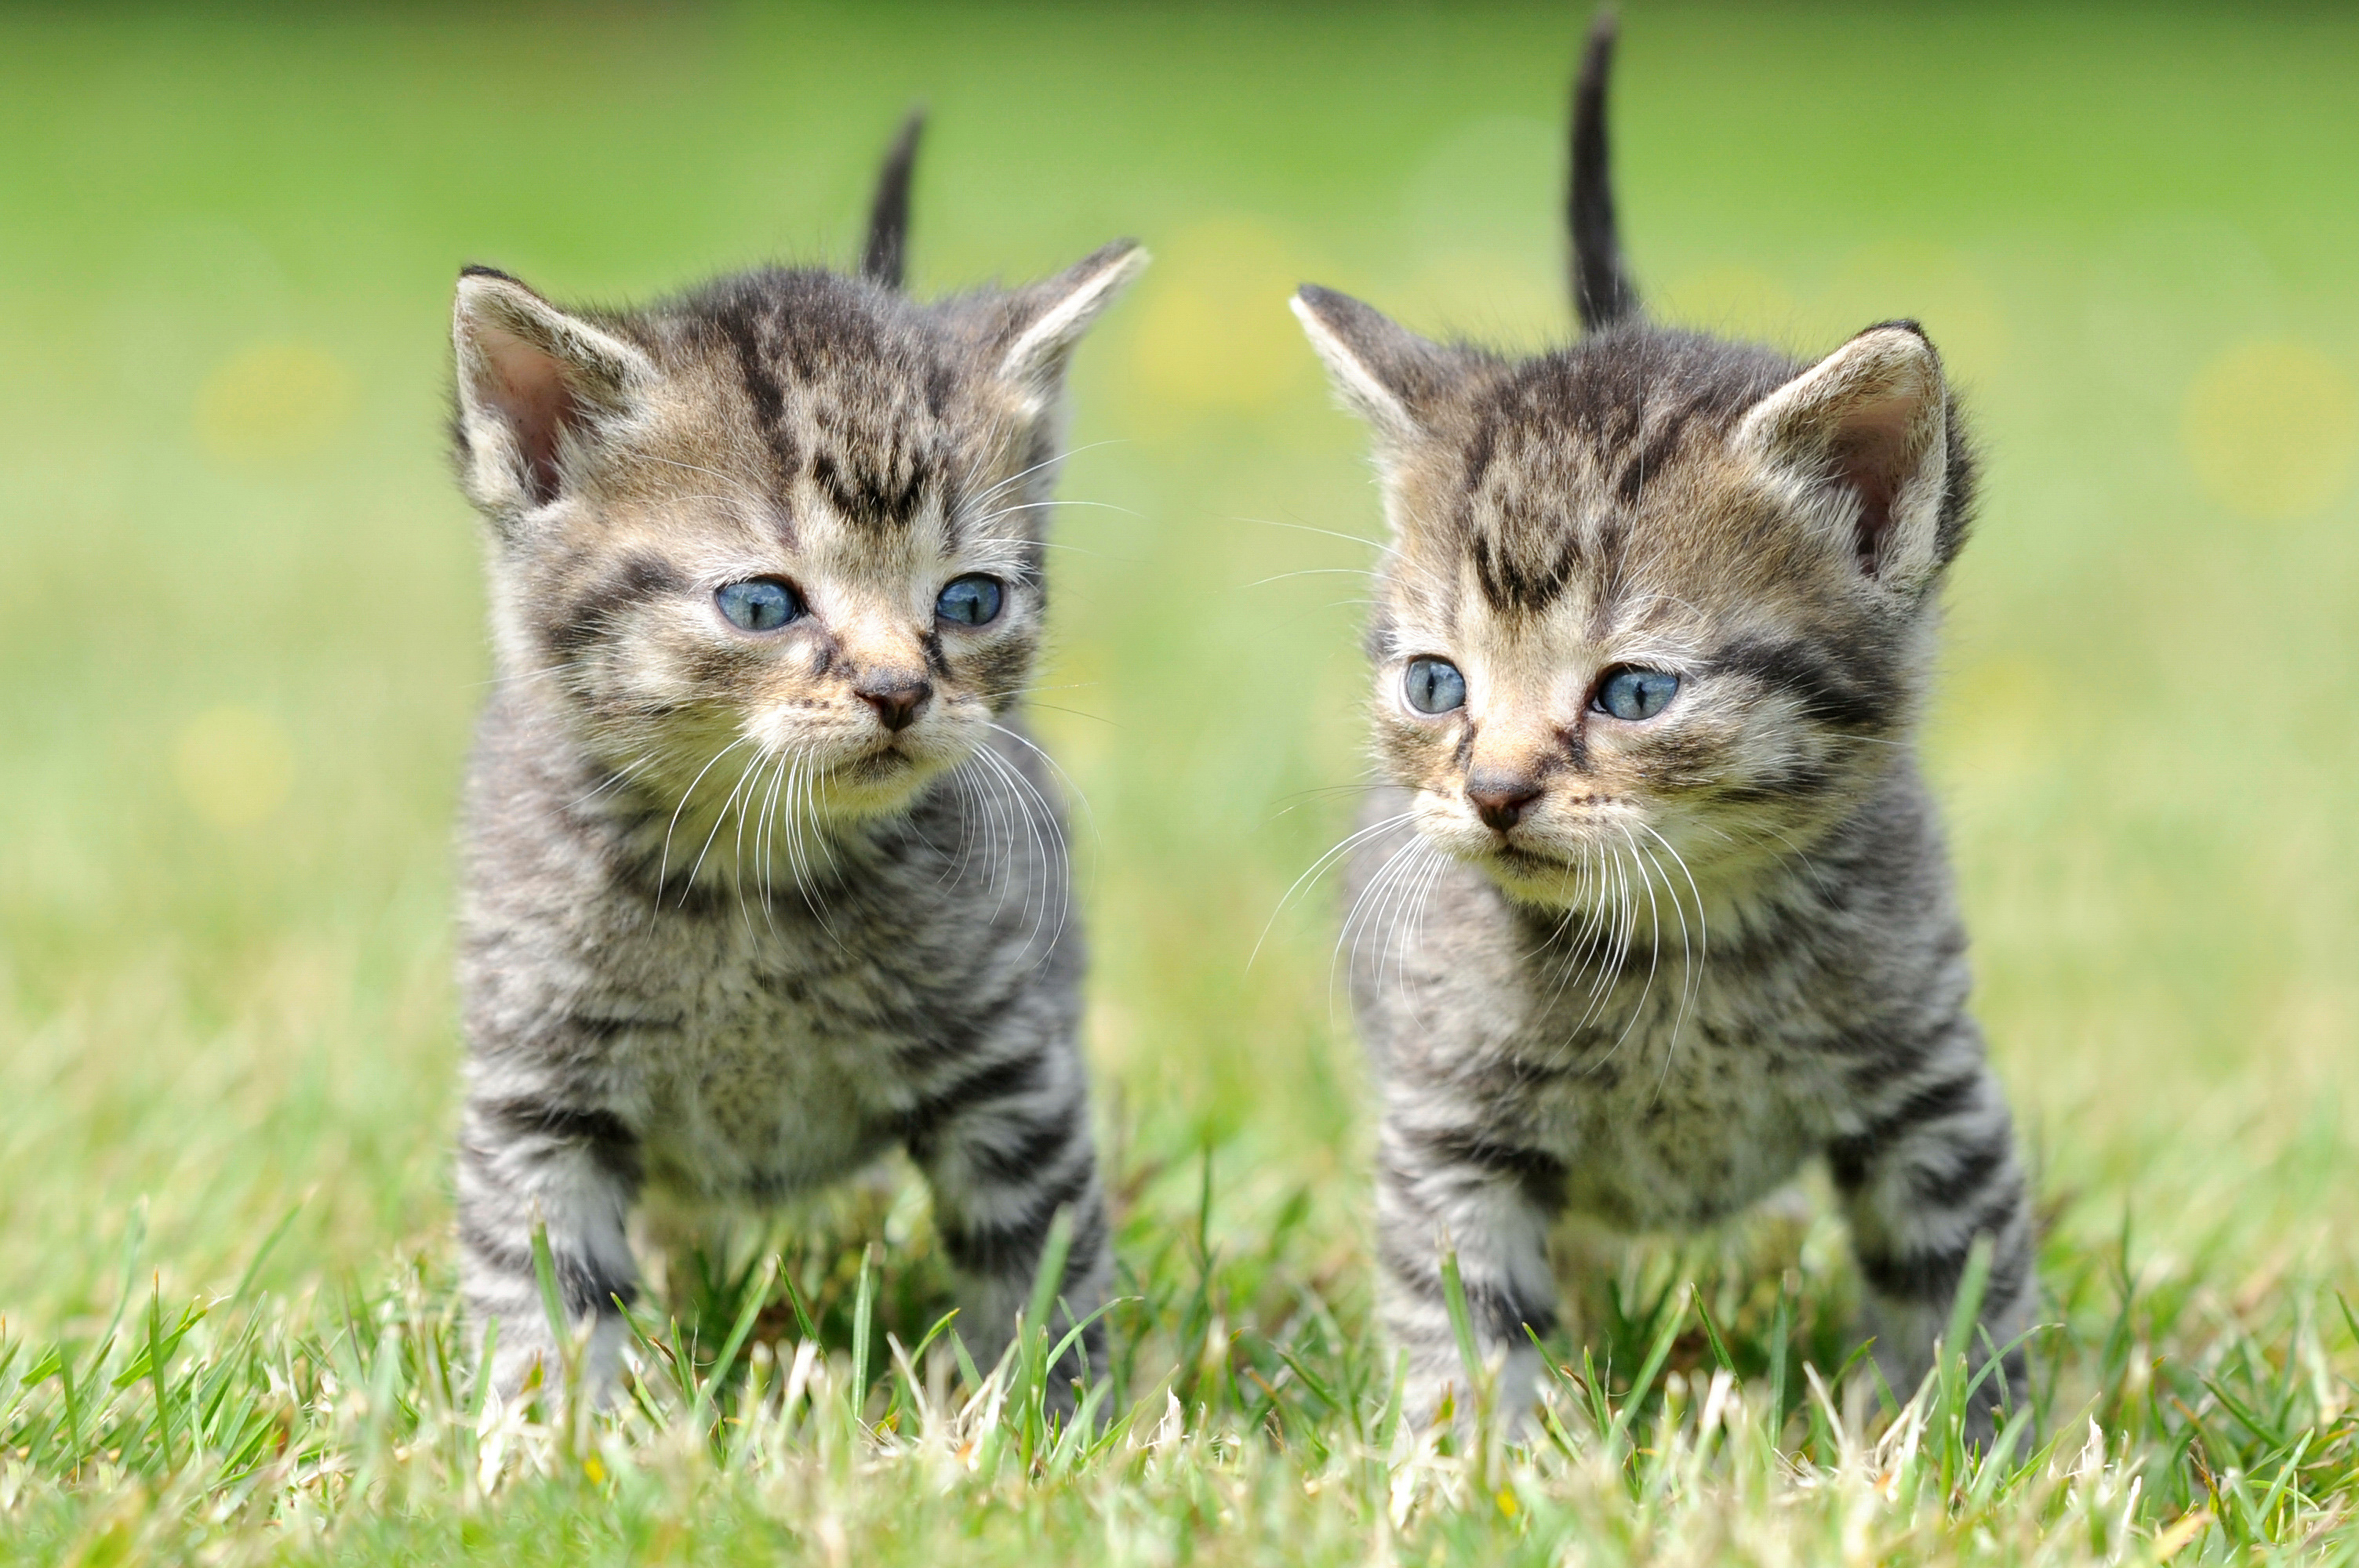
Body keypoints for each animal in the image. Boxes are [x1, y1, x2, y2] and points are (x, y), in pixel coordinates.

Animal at [445, 116, 1146, 1396]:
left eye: (969, 600)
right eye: (764, 603)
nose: (898, 691)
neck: (746, 881)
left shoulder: (1010, 1071)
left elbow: (1038, 1267)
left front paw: (1048, 1414)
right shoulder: (539, 1092)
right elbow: (543, 1285)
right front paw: (553, 1431)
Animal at [1292, 24, 2029, 1433]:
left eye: (1633, 694)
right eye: (1437, 686)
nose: (1495, 792)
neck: (1683, 947)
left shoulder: (1930, 1094)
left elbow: (1960, 1291)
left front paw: (1969, 1449)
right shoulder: (1450, 1125)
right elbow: (1467, 1318)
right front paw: (1480, 1461)